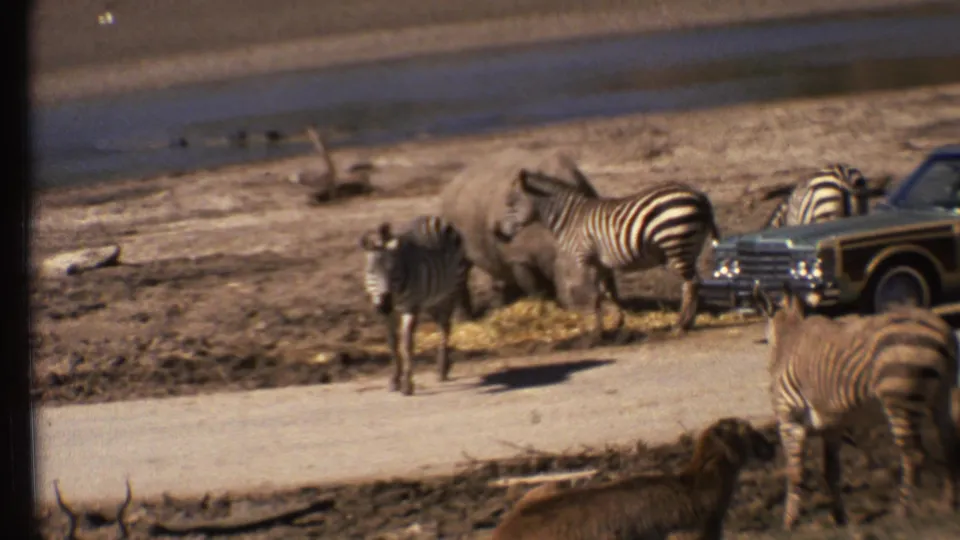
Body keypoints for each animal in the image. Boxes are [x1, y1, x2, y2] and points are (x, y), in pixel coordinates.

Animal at [359, 215, 472, 396]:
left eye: (394, 271)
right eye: (371, 272)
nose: (384, 305)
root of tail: (434, 218)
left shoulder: (411, 308)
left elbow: (407, 344)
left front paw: (407, 384)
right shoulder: (389, 314)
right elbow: (392, 342)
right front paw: (394, 379)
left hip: (452, 290)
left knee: (445, 327)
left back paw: (442, 368)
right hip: (432, 301)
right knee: (441, 324)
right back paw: (444, 366)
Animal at [439, 148, 601, 310]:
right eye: (565, 272)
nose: (584, 304)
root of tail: (455, 180)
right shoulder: (519, 258)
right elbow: (536, 290)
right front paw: (540, 306)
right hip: (450, 212)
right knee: (462, 267)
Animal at [494, 168, 720, 338]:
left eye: (510, 204)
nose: (498, 233)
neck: (570, 219)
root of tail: (698, 195)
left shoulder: (582, 258)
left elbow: (593, 295)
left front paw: (596, 333)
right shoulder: (599, 262)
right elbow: (605, 292)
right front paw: (617, 322)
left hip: (675, 243)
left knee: (690, 284)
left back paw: (680, 325)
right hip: (687, 248)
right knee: (694, 283)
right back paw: (688, 323)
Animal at [752, 282, 959, 530]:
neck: (788, 341)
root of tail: (943, 330)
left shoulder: (789, 419)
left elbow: (795, 472)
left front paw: (789, 522)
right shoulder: (831, 425)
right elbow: (830, 471)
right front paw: (838, 518)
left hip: (898, 398)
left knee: (915, 455)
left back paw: (902, 513)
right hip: (941, 396)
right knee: (948, 445)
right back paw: (947, 504)